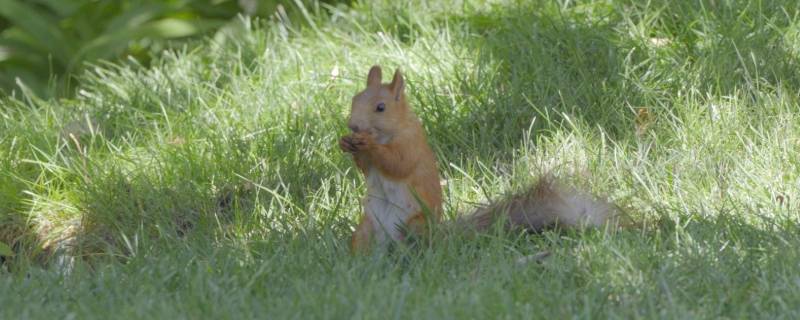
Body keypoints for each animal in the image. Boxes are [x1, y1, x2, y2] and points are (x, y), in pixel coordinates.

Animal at [338, 65, 612, 252]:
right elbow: (366, 168)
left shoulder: (411, 144)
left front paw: (369, 145)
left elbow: (397, 163)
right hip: (365, 229)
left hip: (414, 225)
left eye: (381, 107)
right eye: (354, 99)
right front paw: (346, 144)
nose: (353, 125)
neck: (391, 131)